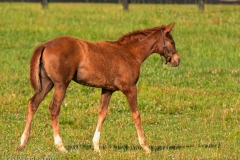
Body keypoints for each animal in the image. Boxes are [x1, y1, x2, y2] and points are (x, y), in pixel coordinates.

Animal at [16, 22, 180, 152]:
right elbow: (136, 114)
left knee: (33, 104)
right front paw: (146, 146)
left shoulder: (107, 89)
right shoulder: (130, 88)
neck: (129, 53)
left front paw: (96, 147)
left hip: (46, 84)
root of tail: (45, 45)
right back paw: (61, 146)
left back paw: (22, 144)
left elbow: (102, 114)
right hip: (61, 84)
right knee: (54, 108)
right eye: (172, 42)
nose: (177, 61)